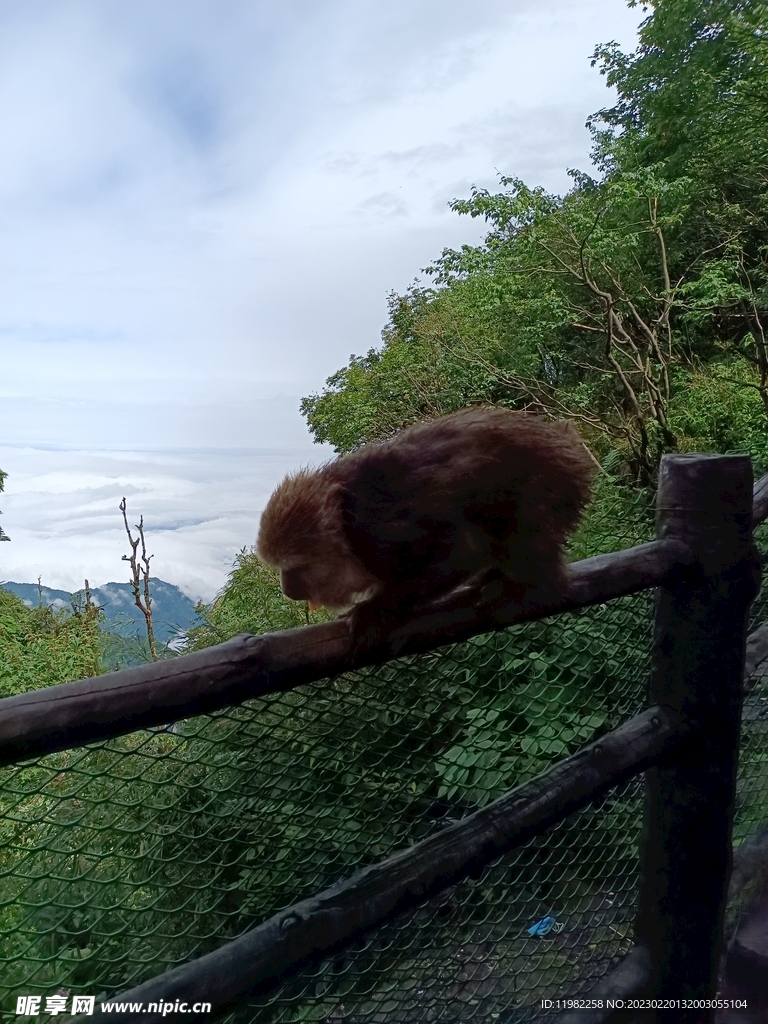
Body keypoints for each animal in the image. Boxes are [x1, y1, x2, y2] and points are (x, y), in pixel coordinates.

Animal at [256, 405, 598, 630]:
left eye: (295, 569)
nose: (287, 590)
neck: (344, 526)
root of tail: (565, 438)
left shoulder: (380, 532)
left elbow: (464, 549)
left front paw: (375, 608)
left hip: (554, 478)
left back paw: (537, 587)